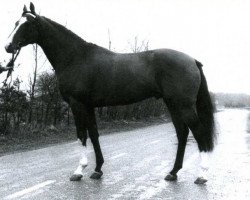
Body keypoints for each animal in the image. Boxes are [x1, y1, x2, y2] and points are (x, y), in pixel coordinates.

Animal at [4, 2, 215, 184]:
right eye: (15, 23)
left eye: (27, 24)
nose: (8, 47)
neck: (75, 57)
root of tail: (192, 60)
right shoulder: (88, 106)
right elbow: (94, 135)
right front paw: (97, 170)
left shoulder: (77, 104)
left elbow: (81, 135)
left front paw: (79, 171)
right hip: (173, 104)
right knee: (182, 133)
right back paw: (173, 172)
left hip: (184, 105)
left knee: (199, 132)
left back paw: (202, 175)